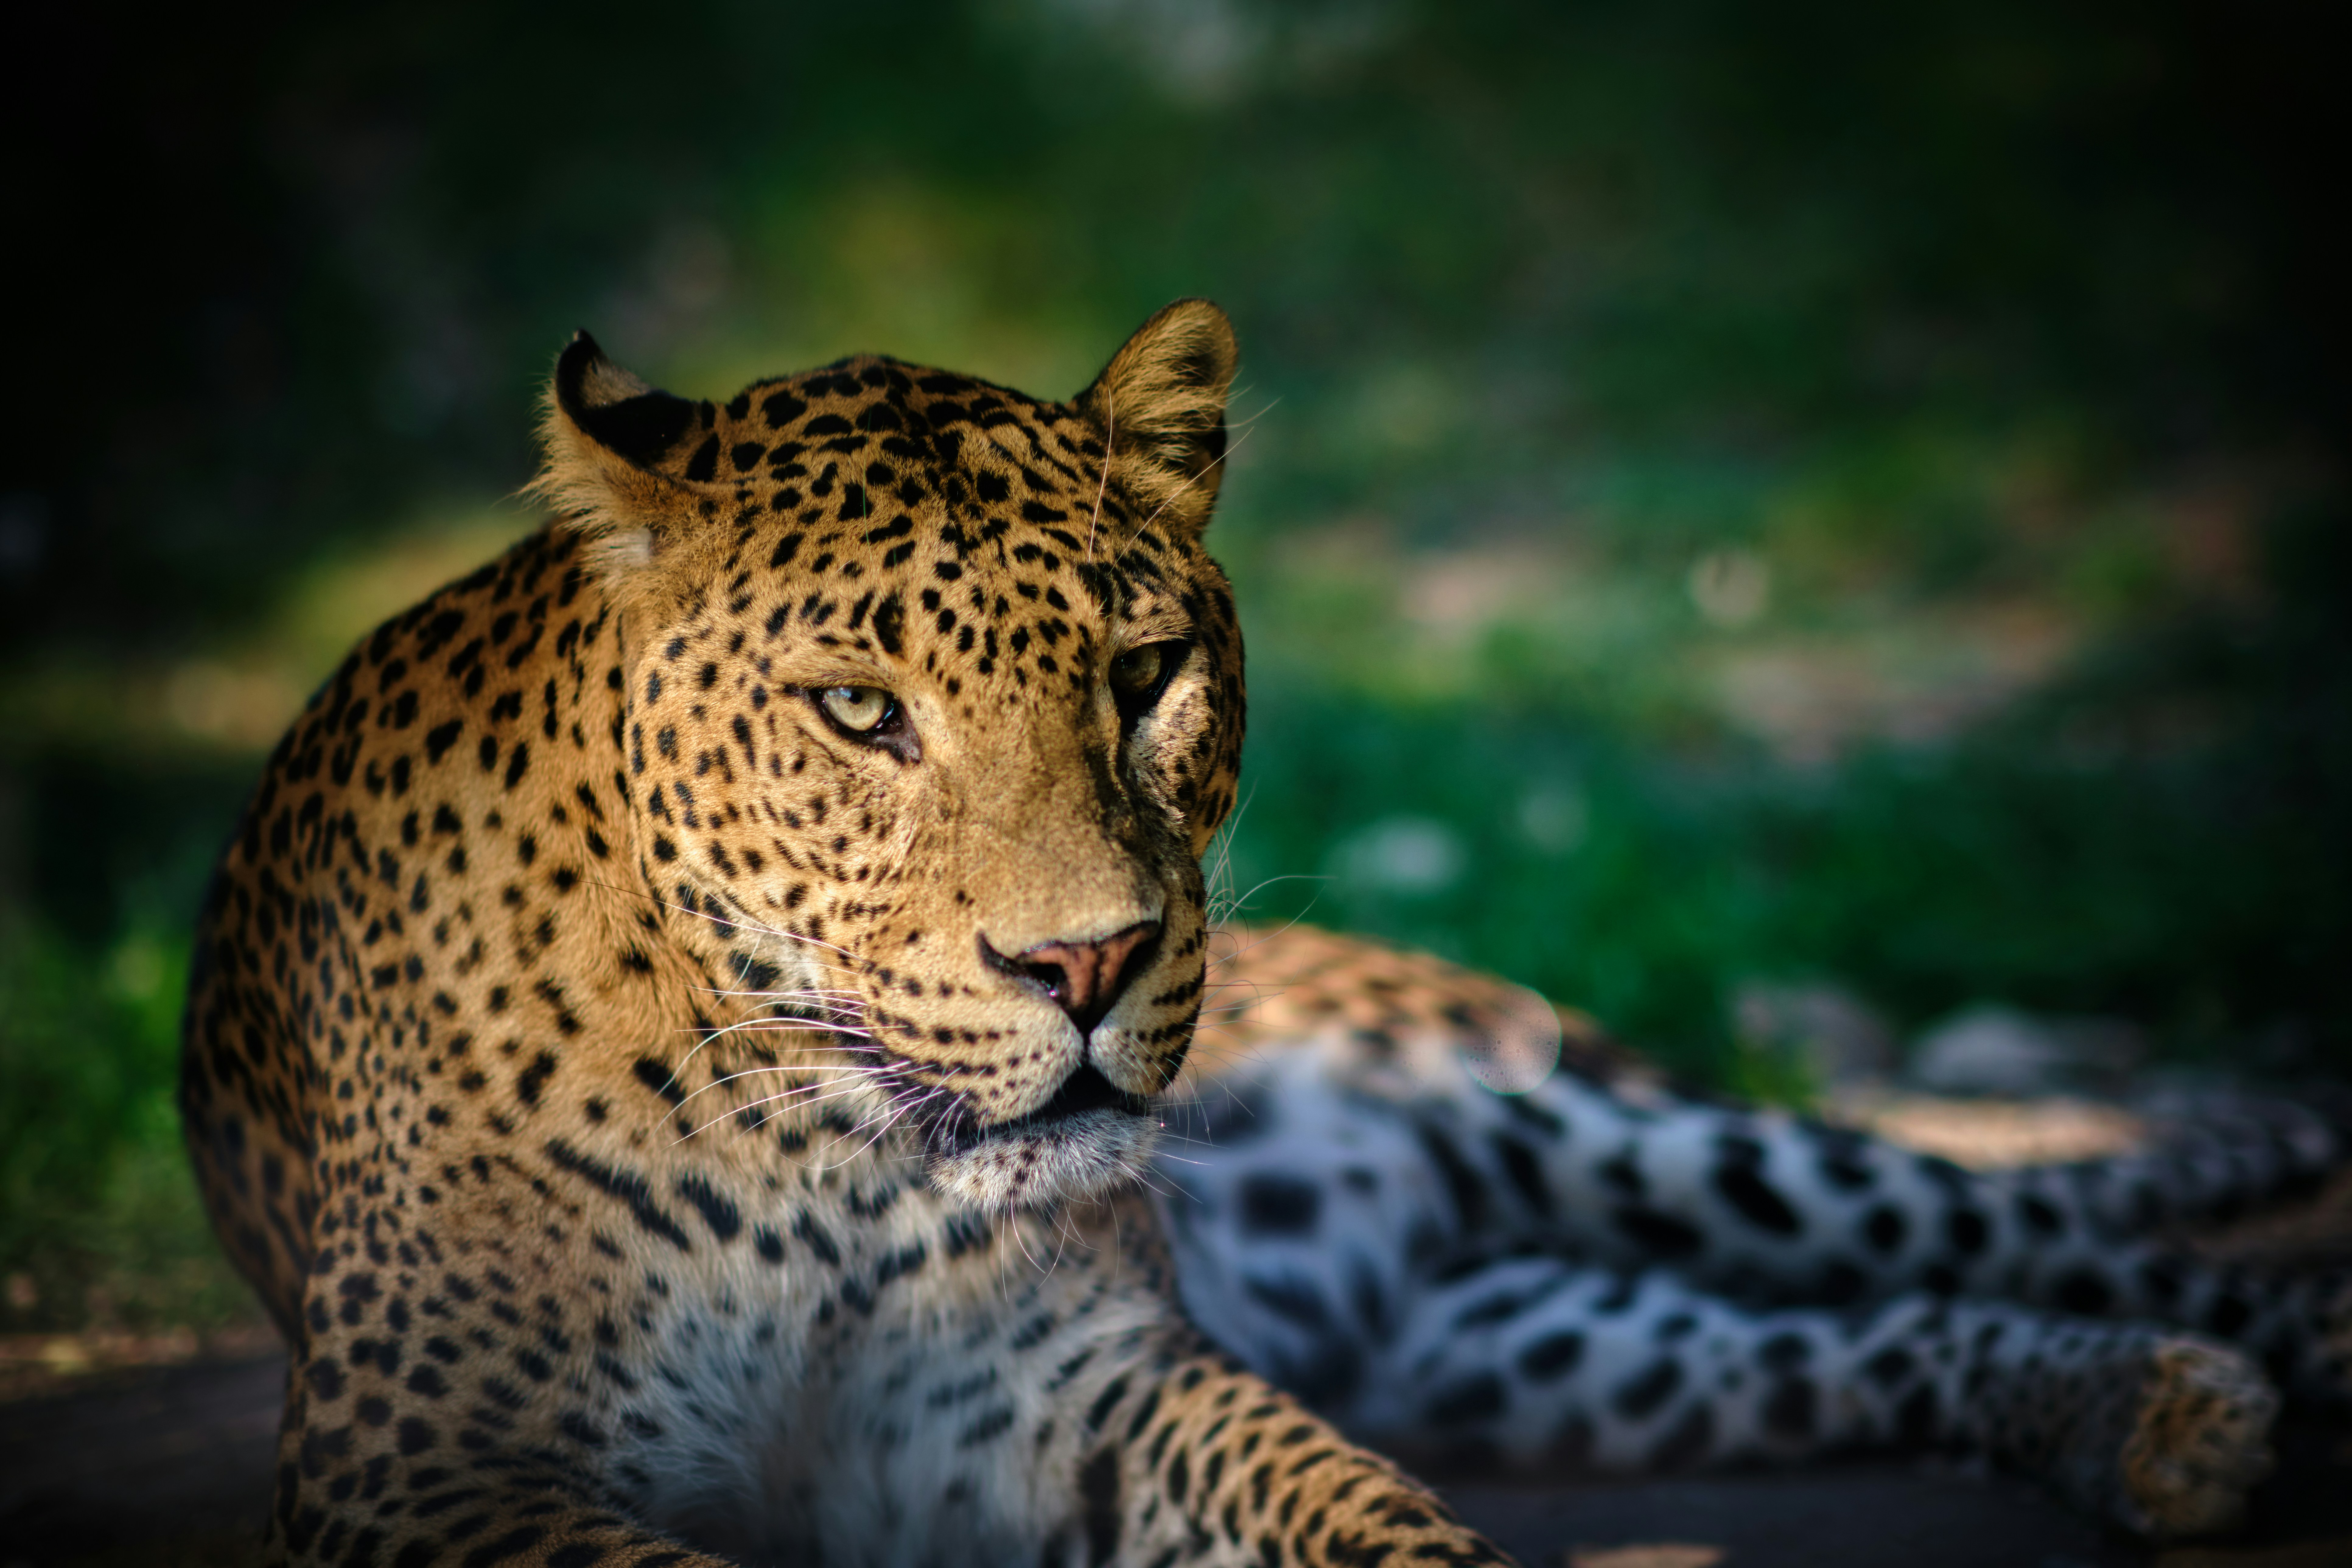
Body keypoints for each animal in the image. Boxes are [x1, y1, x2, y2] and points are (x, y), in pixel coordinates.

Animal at [178, 299, 2345, 1567]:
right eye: (859, 713)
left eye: (1142, 676)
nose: (1084, 970)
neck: (817, 1159)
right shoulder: (428, 1464)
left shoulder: (1072, 1391)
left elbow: (1357, 1513)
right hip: (1526, 1345)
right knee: (1840, 1337)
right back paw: (2153, 1422)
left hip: (1596, 1134)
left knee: (2025, 1229)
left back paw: (2226, 1375)